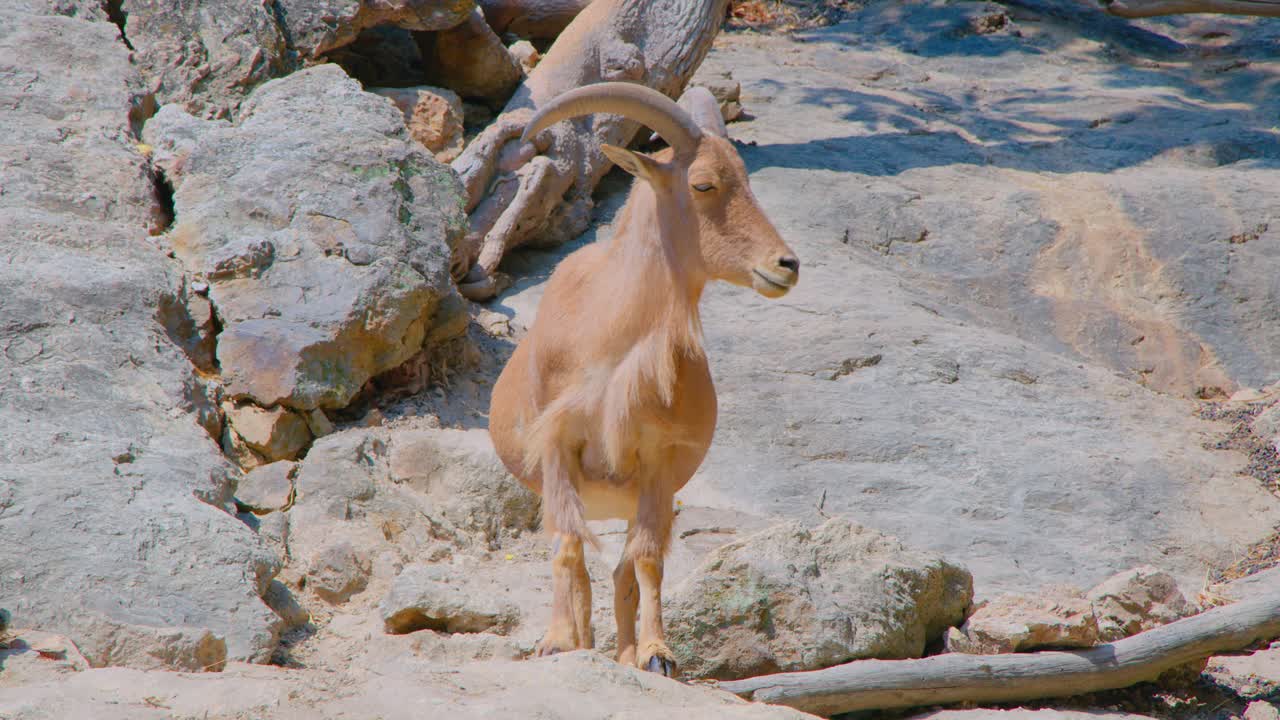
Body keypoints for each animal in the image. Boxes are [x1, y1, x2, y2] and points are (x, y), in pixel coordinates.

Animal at [488, 82, 799, 676]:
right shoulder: (557, 446)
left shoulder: (657, 459)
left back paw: (627, 653)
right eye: (703, 183)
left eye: (746, 178)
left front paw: (657, 653)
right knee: (587, 570)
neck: (612, 347)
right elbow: (567, 548)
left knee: (622, 572)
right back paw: (581, 639)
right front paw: (557, 642)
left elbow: (648, 562)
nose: (786, 265)